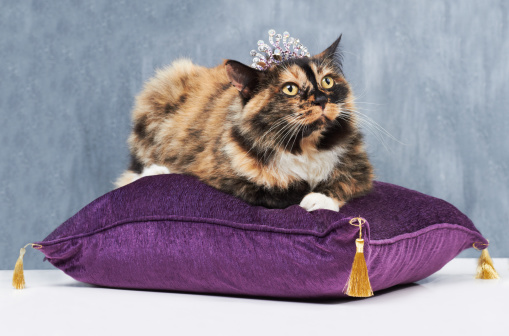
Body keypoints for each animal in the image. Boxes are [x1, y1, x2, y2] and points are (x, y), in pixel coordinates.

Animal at [117, 35, 376, 211]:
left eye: (328, 82)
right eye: (290, 89)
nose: (322, 99)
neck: (303, 144)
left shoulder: (359, 168)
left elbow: (342, 181)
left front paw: (319, 199)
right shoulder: (227, 176)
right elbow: (282, 189)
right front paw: (307, 195)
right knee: (133, 172)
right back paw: (157, 170)